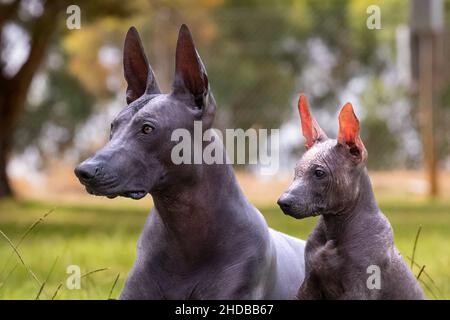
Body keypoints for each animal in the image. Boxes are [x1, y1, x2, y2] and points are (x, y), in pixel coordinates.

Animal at [278, 95, 426, 300]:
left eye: (319, 173)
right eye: (296, 171)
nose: (282, 202)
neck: (335, 228)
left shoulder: (359, 289)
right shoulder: (308, 286)